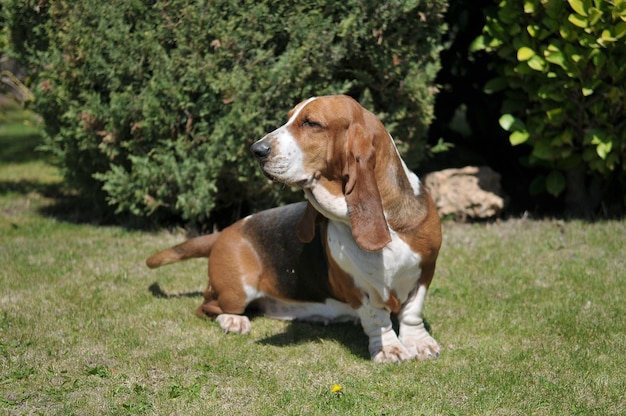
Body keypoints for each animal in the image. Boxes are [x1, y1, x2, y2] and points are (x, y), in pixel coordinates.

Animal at [146, 95, 438, 364]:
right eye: (288, 119)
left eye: (311, 123)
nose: (256, 149)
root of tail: (227, 230)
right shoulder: (356, 289)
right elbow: (377, 318)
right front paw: (389, 349)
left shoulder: (425, 272)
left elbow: (412, 313)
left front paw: (419, 344)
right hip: (237, 291)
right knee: (208, 306)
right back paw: (233, 321)